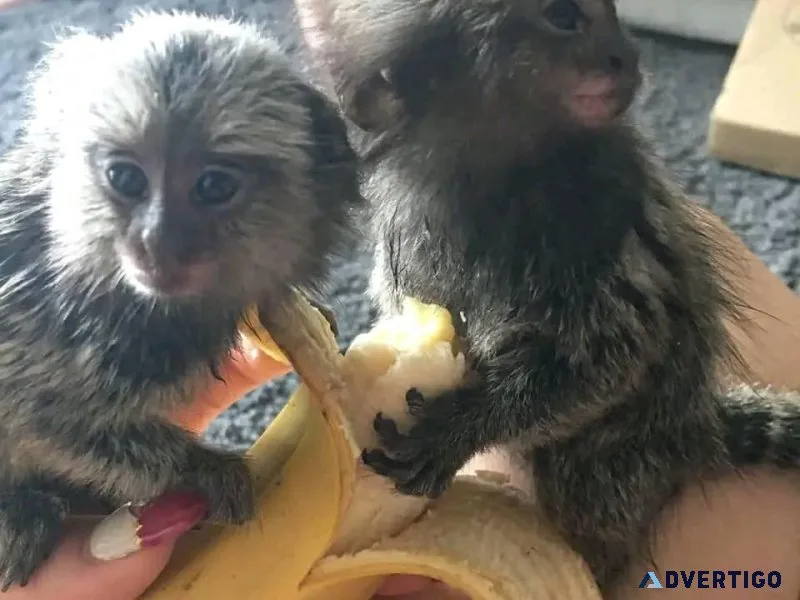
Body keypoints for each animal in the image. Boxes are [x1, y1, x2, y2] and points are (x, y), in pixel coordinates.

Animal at [0, 9, 362, 590]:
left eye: (213, 186)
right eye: (125, 178)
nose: (155, 240)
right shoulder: (43, 320)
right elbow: (45, 422)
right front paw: (202, 470)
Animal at [293, 0, 800, 590]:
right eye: (563, 18)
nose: (625, 58)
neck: (495, 177)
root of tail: (693, 424)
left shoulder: (597, 229)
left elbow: (604, 362)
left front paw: (455, 431)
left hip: (630, 449)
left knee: (582, 478)